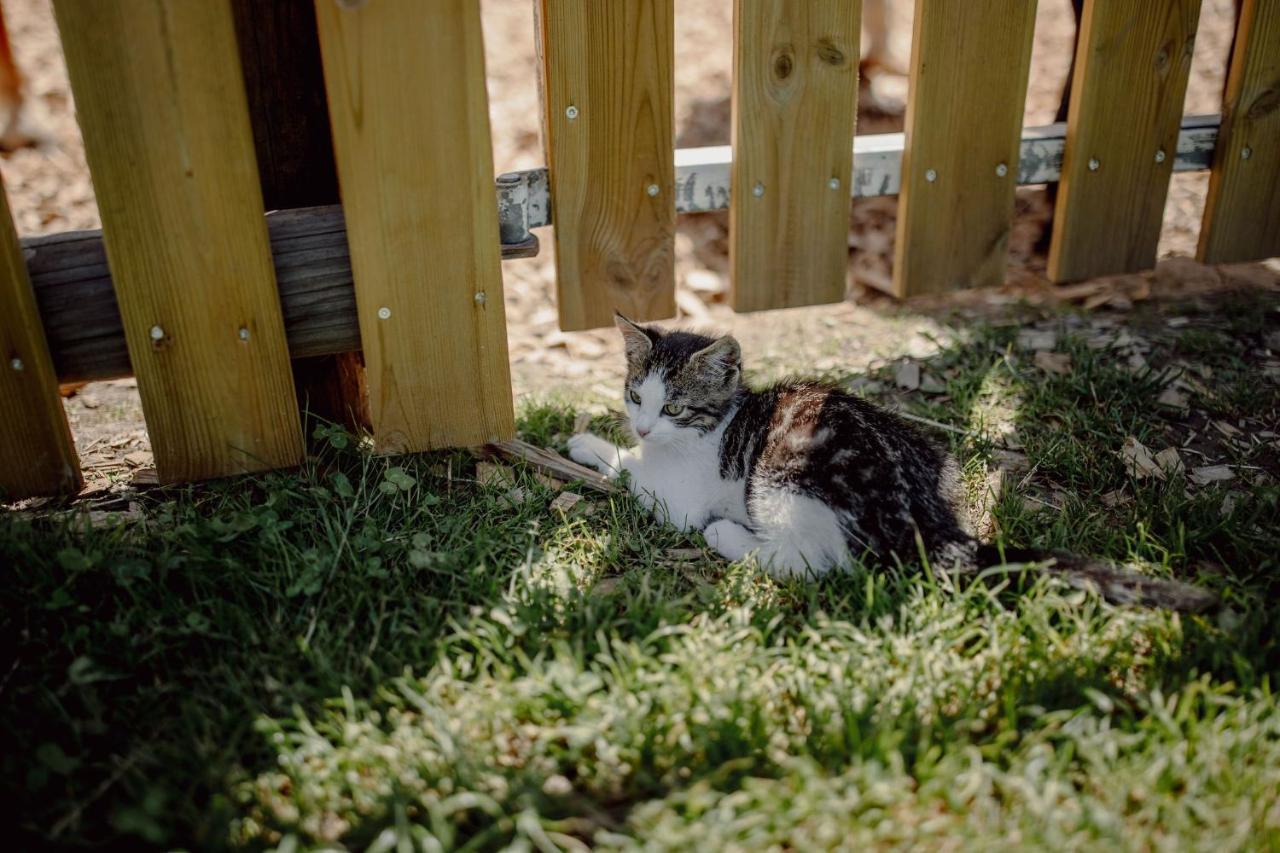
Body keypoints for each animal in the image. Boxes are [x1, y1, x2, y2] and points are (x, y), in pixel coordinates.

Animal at [570, 312, 1218, 612]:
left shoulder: (678, 497)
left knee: (814, 563)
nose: (642, 425)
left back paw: (730, 537)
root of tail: (924, 518)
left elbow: (636, 477)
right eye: (636, 396)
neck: (718, 423)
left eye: (675, 407)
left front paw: (589, 447)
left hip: (785, 476)